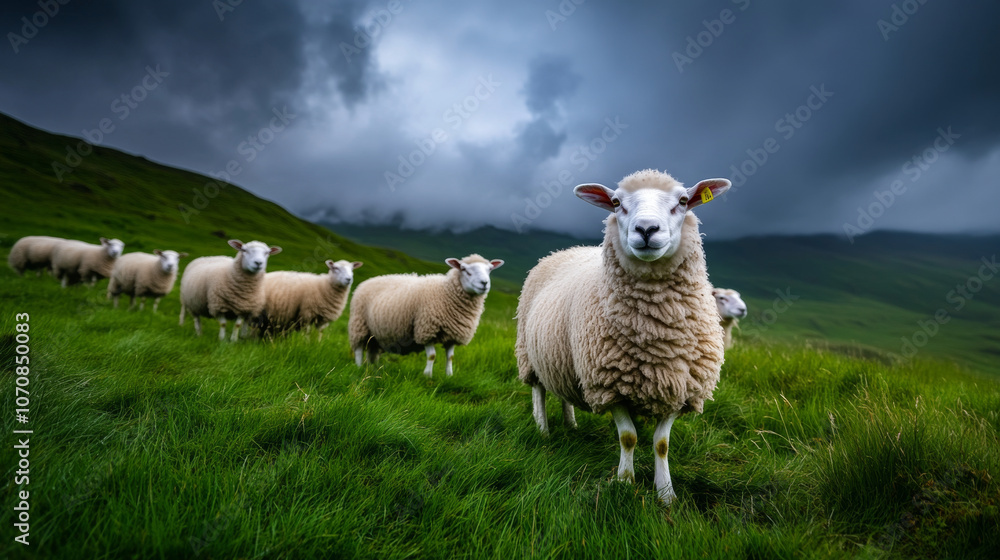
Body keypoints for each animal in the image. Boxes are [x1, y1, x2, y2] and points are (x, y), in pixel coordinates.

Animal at [348, 254, 504, 377]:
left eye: (490, 269)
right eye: (464, 269)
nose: (484, 283)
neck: (446, 293)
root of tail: (367, 281)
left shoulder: (453, 334)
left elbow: (450, 357)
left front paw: (449, 376)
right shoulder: (426, 329)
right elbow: (432, 355)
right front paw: (427, 375)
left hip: (374, 334)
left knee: (371, 350)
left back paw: (372, 368)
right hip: (359, 324)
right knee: (359, 349)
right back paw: (359, 367)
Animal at [515, 169, 731, 504]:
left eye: (683, 201)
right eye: (616, 203)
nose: (646, 229)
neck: (656, 330)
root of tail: (566, 250)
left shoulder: (679, 385)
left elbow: (661, 444)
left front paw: (666, 494)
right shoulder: (609, 383)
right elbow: (628, 437)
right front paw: (625, 483)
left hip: (562, 360)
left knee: (562, 391)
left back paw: (571, 424)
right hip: (529, 353)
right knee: (538, 390)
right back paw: (543, 430)